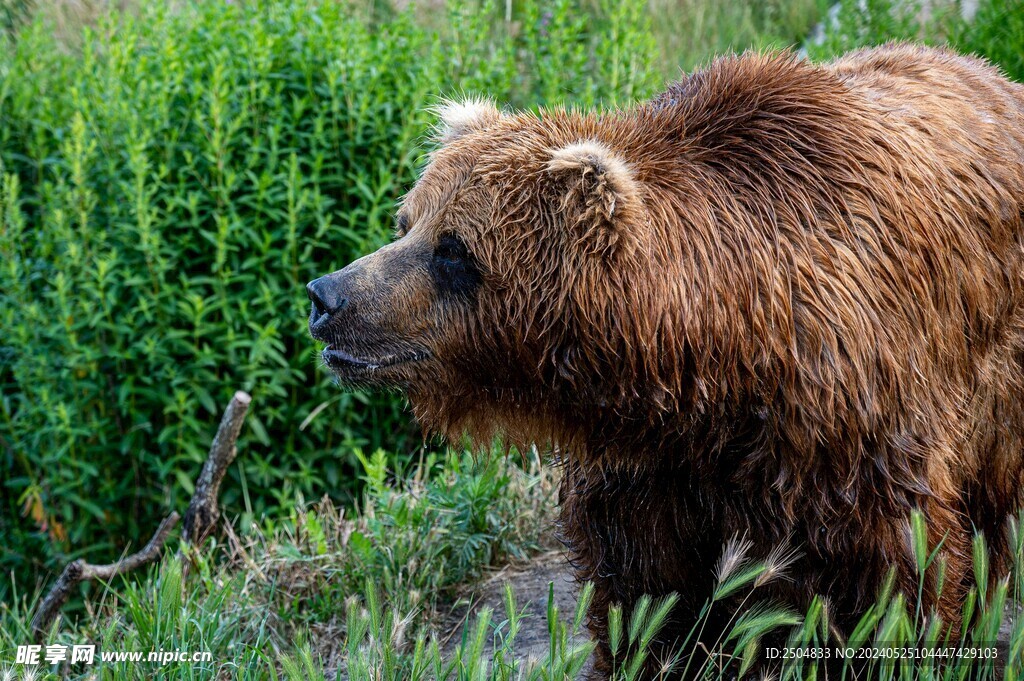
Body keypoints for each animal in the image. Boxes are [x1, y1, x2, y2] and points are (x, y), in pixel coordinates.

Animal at [307, 44, 1024, 678]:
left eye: (454, 249)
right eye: (407, 223)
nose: (327, 296)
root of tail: (991, 73)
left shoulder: (849, 431)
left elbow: (899, 577)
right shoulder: (649, 472)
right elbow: (646, 601)